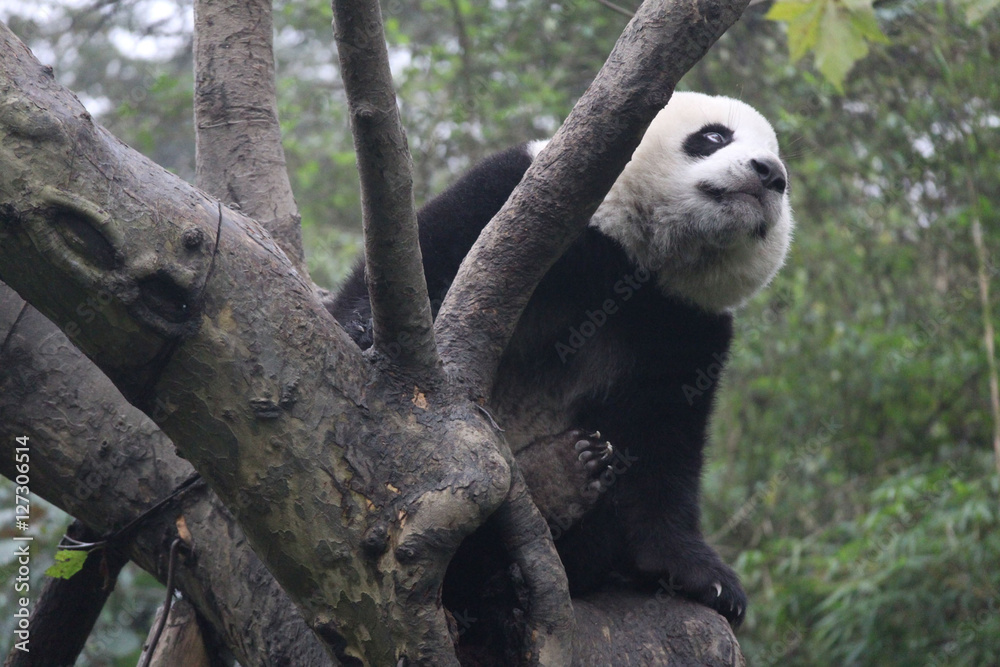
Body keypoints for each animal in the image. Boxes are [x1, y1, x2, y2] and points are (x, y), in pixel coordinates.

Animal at [331, 92, 793, 630]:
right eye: (715, 135)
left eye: (782, 175)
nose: (769, 172)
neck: (635, 259)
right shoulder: (516, 196)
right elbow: (429, 254)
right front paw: (366, 335)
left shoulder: (686, 325)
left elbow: (663, 444)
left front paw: (703, 576)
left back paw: (556, 487)